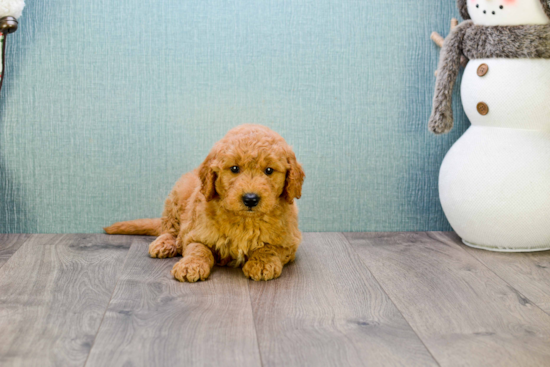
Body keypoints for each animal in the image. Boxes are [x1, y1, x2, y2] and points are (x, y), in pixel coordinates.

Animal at [105, 125, 306, 284]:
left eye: (269, 170)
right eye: (234, 169)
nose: (250, 198)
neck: (245, 219)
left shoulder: (289, 242)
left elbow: (269, 248)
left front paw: (262, 264)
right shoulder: (195, 233)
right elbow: (198, 249)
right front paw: (190, 266)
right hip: (175, 201)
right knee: (169, 228)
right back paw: (164, 243)